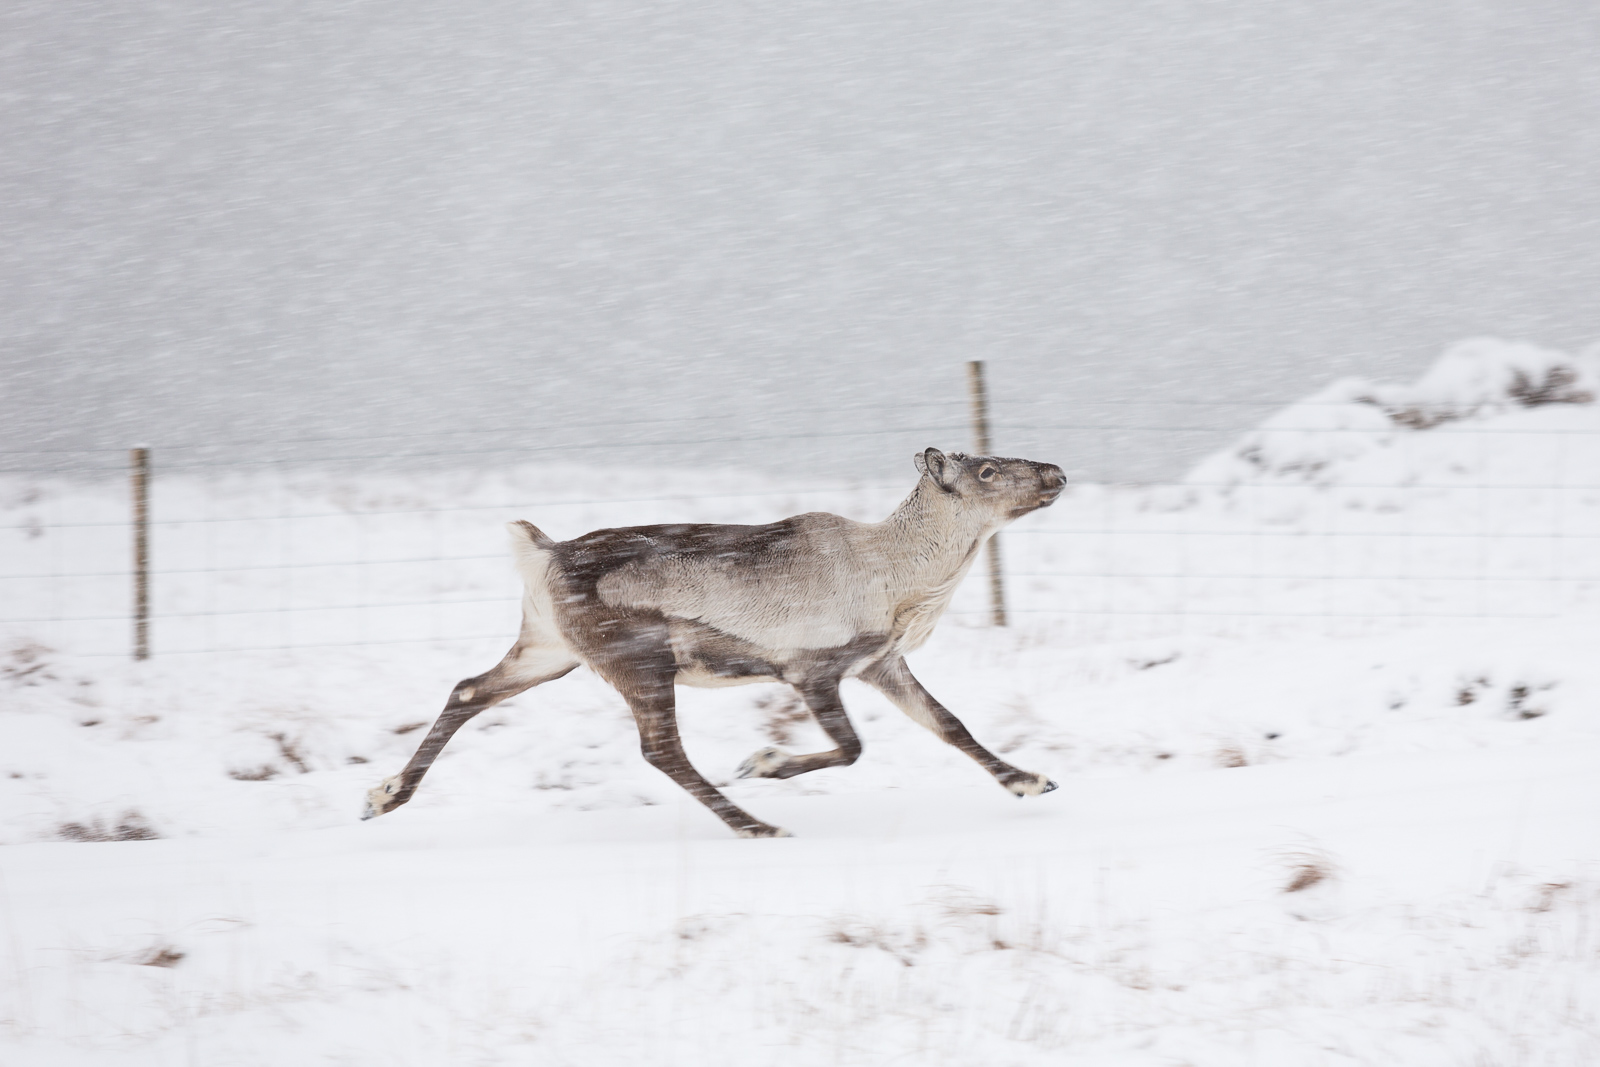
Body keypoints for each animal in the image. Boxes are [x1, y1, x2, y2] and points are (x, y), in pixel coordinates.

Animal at [362, 447, 1066, 838]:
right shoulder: (811, 670)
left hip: (549, 649)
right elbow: (853, 747)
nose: (1057, 472)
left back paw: (384, 796)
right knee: (661, 750)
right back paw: (756, 825)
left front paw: (1030, 781)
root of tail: (542, 554)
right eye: (988, 469)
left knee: (468, 689)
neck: (903, 580)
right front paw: (765, 762)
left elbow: (950, 725)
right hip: (640, 661)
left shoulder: (880, 662)